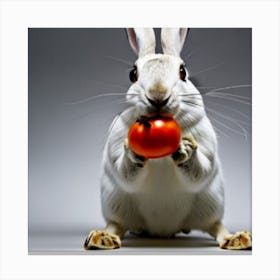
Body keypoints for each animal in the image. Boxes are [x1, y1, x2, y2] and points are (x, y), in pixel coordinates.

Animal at [83, 28, 252, 250]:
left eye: (183, 72)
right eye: (132, 74)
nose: (158, 95)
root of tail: (163, 230)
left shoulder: (207, 146)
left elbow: (201, 170)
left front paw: (186, 151)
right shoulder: (116, 146)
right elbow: (124, 171)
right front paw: (133, 153)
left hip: (209, 207)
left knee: (216, 226)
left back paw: (236, 239)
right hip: (118, 207)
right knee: (116, 224)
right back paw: (102, 238)